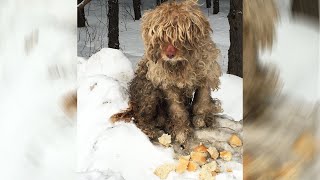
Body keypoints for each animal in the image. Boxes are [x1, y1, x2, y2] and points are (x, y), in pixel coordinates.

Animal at [111, 0, 221, 143]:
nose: (170, 54)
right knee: (140, 117)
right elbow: (177, 110)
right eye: (161, 36)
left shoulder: (206, 73)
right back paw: (149, 130)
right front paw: (181, 130)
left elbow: (202, 100)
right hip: (149, 90)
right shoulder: (168, 85)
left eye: (182, 35)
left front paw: (201, 117)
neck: (181, 64)